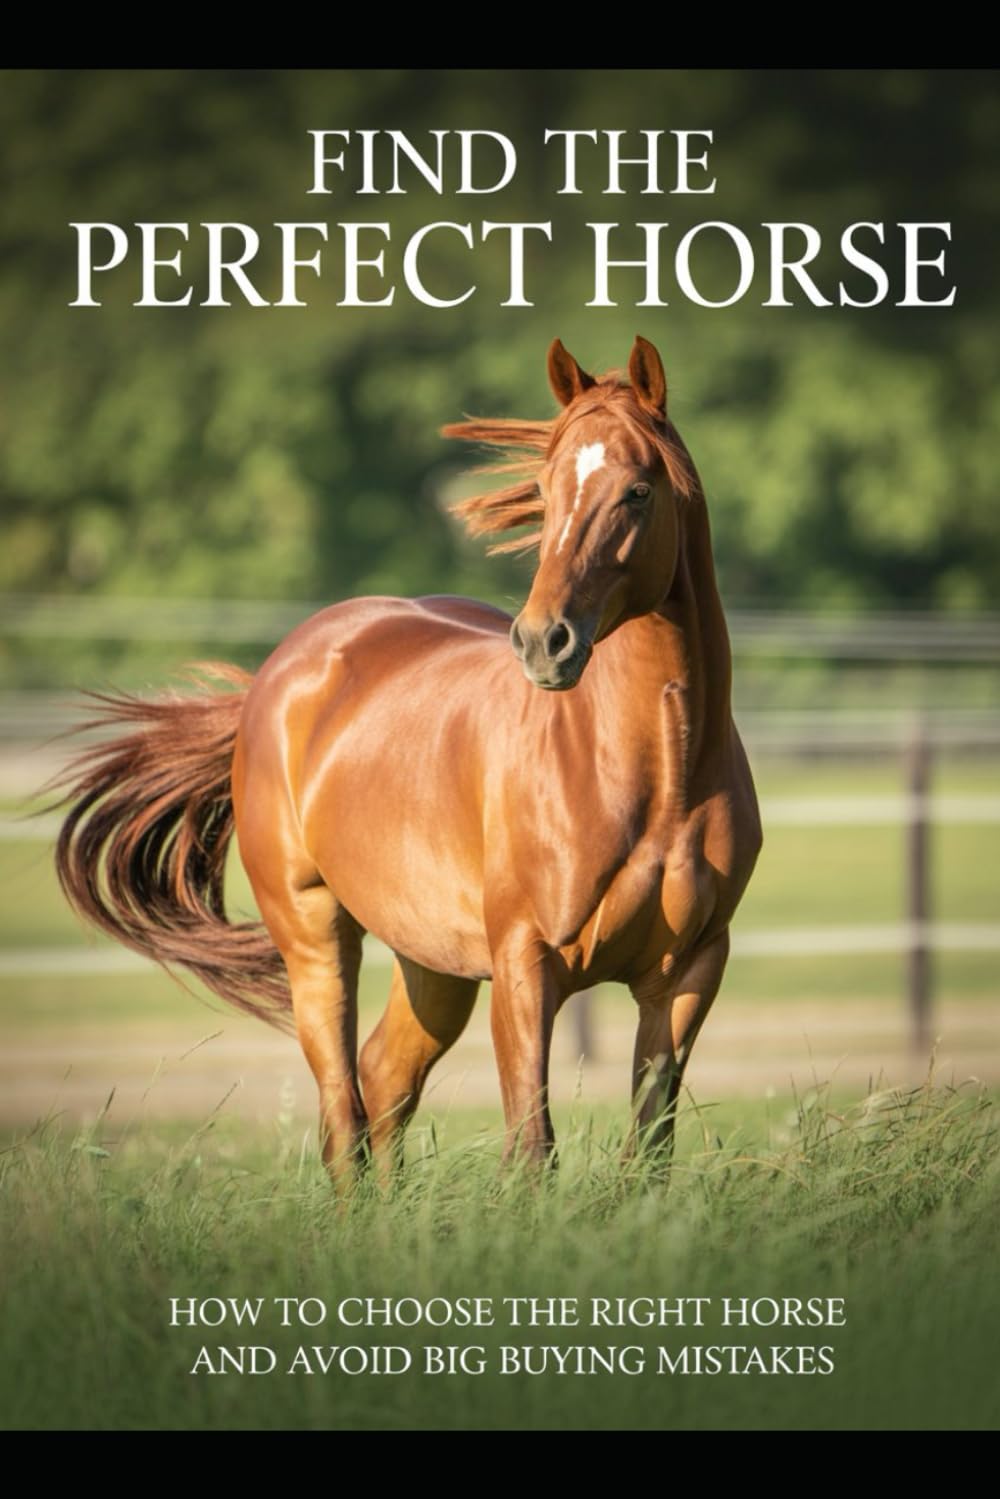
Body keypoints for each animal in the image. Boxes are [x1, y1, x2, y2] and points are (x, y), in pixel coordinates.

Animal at [53, 335, 762, 1191]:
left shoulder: (688, 972)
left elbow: (648, 1150)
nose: (544, 642)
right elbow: (532, 1148)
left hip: (434, 965)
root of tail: (275, 675)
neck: (653, 770)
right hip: (318, 940)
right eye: (546, 488)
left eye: (636, 491)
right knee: (345, 1113)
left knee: (384, 1081)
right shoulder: (525, 965)